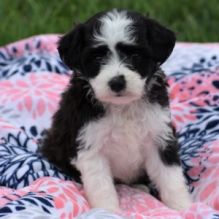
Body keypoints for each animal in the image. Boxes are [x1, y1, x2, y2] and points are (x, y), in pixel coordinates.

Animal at [41, 9, 192, 212]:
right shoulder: (90, 146)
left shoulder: (159, 136)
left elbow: (170, 177)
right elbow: (101, 186)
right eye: (98, 58)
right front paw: (107, 212)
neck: (122, 107)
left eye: (135, 56)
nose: (117, 82)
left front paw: (184, 208)